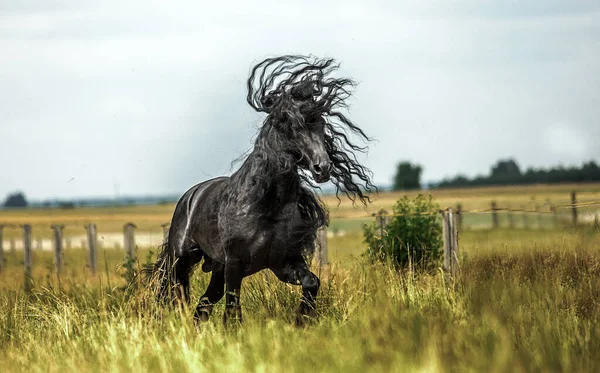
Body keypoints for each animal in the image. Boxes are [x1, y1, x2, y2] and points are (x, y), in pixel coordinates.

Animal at [152, 53, 372, 324]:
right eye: (292, 125)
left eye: (321, 125)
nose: (323, 167)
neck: (267, 206)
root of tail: (190, 196)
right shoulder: (235, 264)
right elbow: (232, 311)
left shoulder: (284, 262)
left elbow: (312, 283)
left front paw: (301, 320)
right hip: (182, 260)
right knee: (179, 296)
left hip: (216, 269)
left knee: (202, 306)